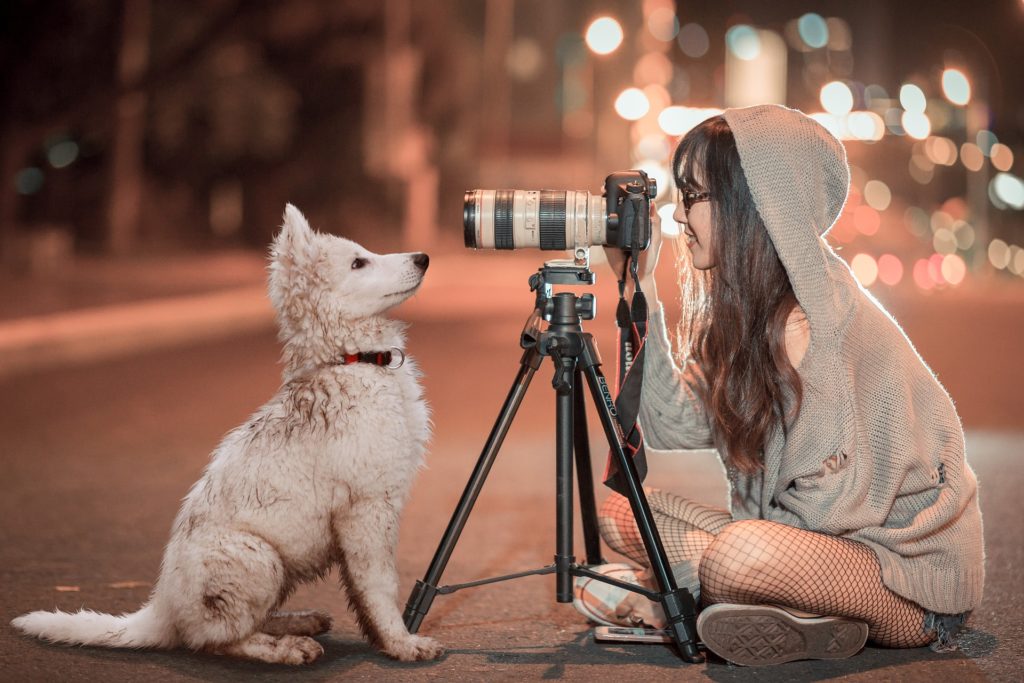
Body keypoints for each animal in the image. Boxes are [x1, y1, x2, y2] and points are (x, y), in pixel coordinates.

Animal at [12, 205, 444, 663]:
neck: (351, 360)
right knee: (215, 639)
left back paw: (297, 621)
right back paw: (286, 648)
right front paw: (403, 643)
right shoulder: (367, 509)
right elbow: (380, 588)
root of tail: (160, 609)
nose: (423, 258)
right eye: (359, 262)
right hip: (258, 558)